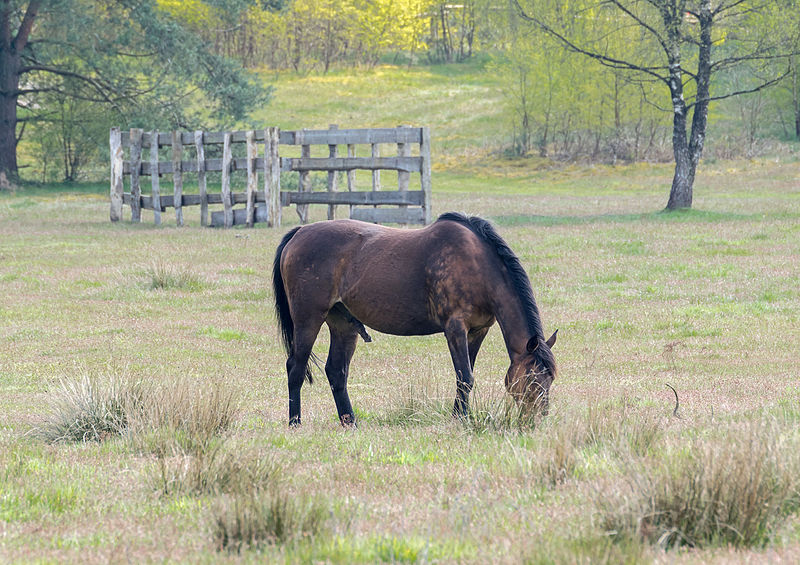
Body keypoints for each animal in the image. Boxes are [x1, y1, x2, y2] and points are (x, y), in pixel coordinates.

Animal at [270, 210, 556, 424]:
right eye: (532, 379)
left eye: (550, 378)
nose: (538, 419)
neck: (477, 265)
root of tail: (299, 233)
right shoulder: (455, 328)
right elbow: (464, 376)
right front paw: (461, 419)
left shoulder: (477, 330)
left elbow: (466, 376)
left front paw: (459, 416)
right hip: (308, 319)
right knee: (295, 367)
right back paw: (295, 423)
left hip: (343, 325)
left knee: (336, 371)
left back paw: (349, 422)